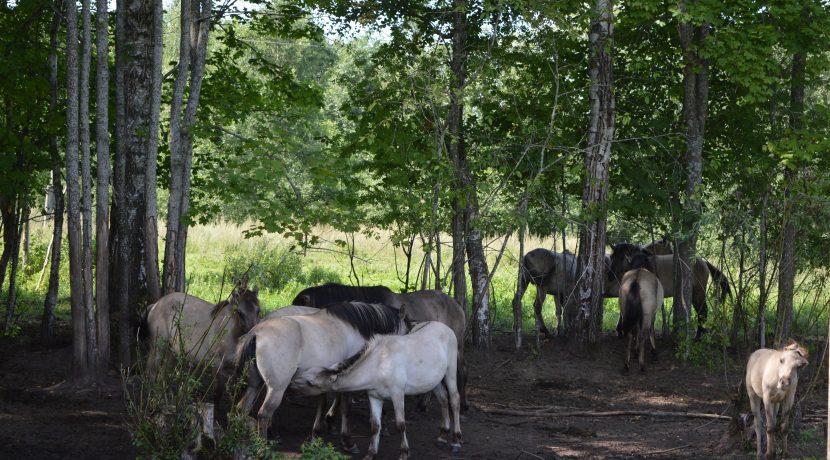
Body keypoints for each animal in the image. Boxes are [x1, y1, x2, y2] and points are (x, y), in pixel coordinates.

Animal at [232, 300, 412, 452]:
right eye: (407, 332)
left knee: (242, 408)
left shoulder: (323, 379)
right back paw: (263, 447)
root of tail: (256, 332)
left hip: (255, 385)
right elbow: (346, 408)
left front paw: (316, 433)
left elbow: (322, 403)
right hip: (276, 388)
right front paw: (347, 441)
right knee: (264, 414)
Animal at [300, 320, 464, 460]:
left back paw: (456, 440)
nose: (298, 386)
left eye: (310, 383)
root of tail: (445, 327)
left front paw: (404, 453)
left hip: (450, 372)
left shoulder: (397, 394)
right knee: (443, 399)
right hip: (434, 381)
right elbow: (375, 426)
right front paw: (371, 453)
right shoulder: (374, 396)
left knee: (455, 400)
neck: (380, 364)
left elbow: (400, 424)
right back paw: (442, 436)